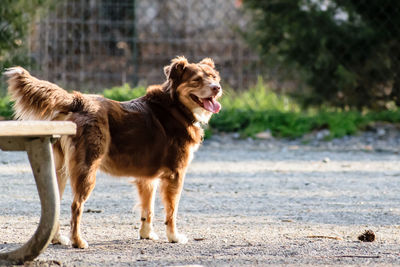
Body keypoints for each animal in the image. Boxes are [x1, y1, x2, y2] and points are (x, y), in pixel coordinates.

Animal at [3, 56, 222, 249]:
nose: (217, 88)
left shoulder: (147, 177)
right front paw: (174, 237)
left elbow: (148, 209)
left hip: (61, 170)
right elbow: (171, 211)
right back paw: (78, 241)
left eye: (214, 77)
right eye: (197, 80)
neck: (176, 106)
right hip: (87, 169)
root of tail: (78, 100)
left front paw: (147, 234)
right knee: (76, 206)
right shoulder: (175, 174)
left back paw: (57, 239)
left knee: (56, 204)